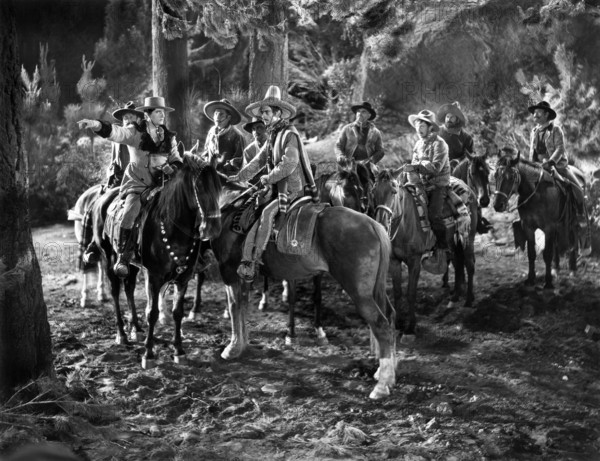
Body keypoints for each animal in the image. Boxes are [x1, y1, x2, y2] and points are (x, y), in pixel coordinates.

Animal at [92, 149, 224, 364]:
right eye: (199, 187)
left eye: (218, 188)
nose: (213, 228)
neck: (173, 228)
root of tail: (103, 199)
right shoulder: (154, 277)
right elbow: (152, 312)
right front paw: (148, 352)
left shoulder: (183, 278)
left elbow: (178, 312)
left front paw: (178, 350)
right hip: (108, 257)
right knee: (115, 290)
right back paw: (122, 334)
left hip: (132, 264)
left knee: (129, 287)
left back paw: (136, 328)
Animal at [211, 180, 398, 398]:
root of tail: (372, 225)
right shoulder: (242, 278)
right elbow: (242, 306)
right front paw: (242, 345)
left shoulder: (228, 272)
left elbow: (234, 307)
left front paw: (232, 348)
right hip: (375, 289)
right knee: (390, 316)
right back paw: (385, 373)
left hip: (361, 294)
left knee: (380, 324)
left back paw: (382, 385)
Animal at [492, 150, 584, 288]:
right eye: (495, 175)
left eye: (511, 177)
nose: (498, 205)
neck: (536, 193)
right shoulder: (528, 227)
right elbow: (531, 254)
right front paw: (531, 279)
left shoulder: (548, 227)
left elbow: (547, 254)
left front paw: (548, 282)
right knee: (557, 244)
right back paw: (556, 269)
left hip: (572, 221)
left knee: (573, 241)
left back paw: (572, 270)